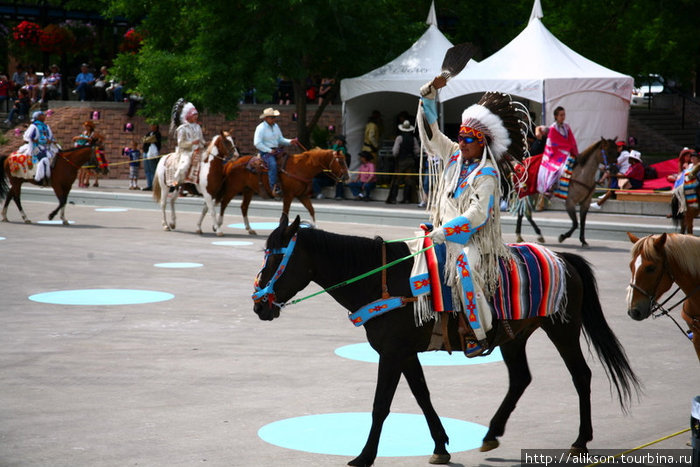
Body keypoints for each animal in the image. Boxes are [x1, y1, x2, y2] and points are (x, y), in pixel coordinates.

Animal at [211, 150, 348, 236]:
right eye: (341, 161)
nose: (347, 177)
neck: (301, 168)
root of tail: (232, 162)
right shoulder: (288, 195)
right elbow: (285, 214)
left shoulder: (302, 195)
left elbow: (311, 210)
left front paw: (315, 227)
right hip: (233, 188)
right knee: (223, 204)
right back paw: (218, 227)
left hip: (248, 190)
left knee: (244, 207)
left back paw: (250, 229)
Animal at [254, 216, 644, 467]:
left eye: (277, 259)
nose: (259, 305)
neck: (381, 280)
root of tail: (563, 259)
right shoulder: (405, 353)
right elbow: (422, 396)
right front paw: (440, 446)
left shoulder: (392, 353)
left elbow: (381, 405)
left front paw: (364, 456)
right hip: (513, 336)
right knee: (521, 378)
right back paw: (492, 433)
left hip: (562, 329)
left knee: (581, 375)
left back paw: (581, 440)